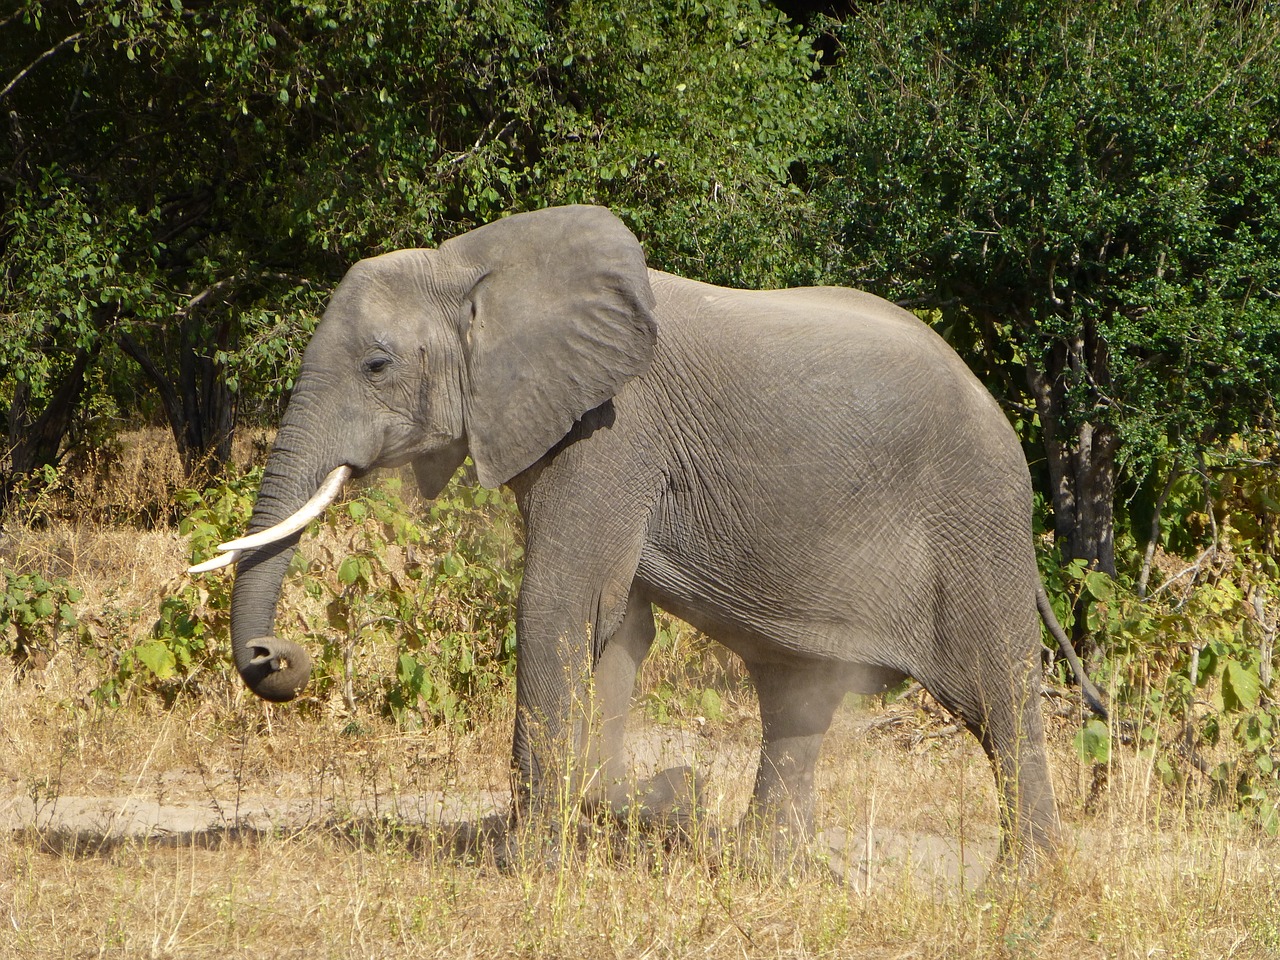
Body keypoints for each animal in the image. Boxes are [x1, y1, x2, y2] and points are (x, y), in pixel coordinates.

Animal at [194, 203, 1105, 865]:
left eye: (378, 365)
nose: (275, 655)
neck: (471, 263)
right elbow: (619, 625)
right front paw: (646, 803)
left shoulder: (611, 434)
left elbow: (559, 607)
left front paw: (534, 864)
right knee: (798, 696)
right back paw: (766, 870)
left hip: (973, 521)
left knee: (999, 700)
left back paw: (1024, 885)